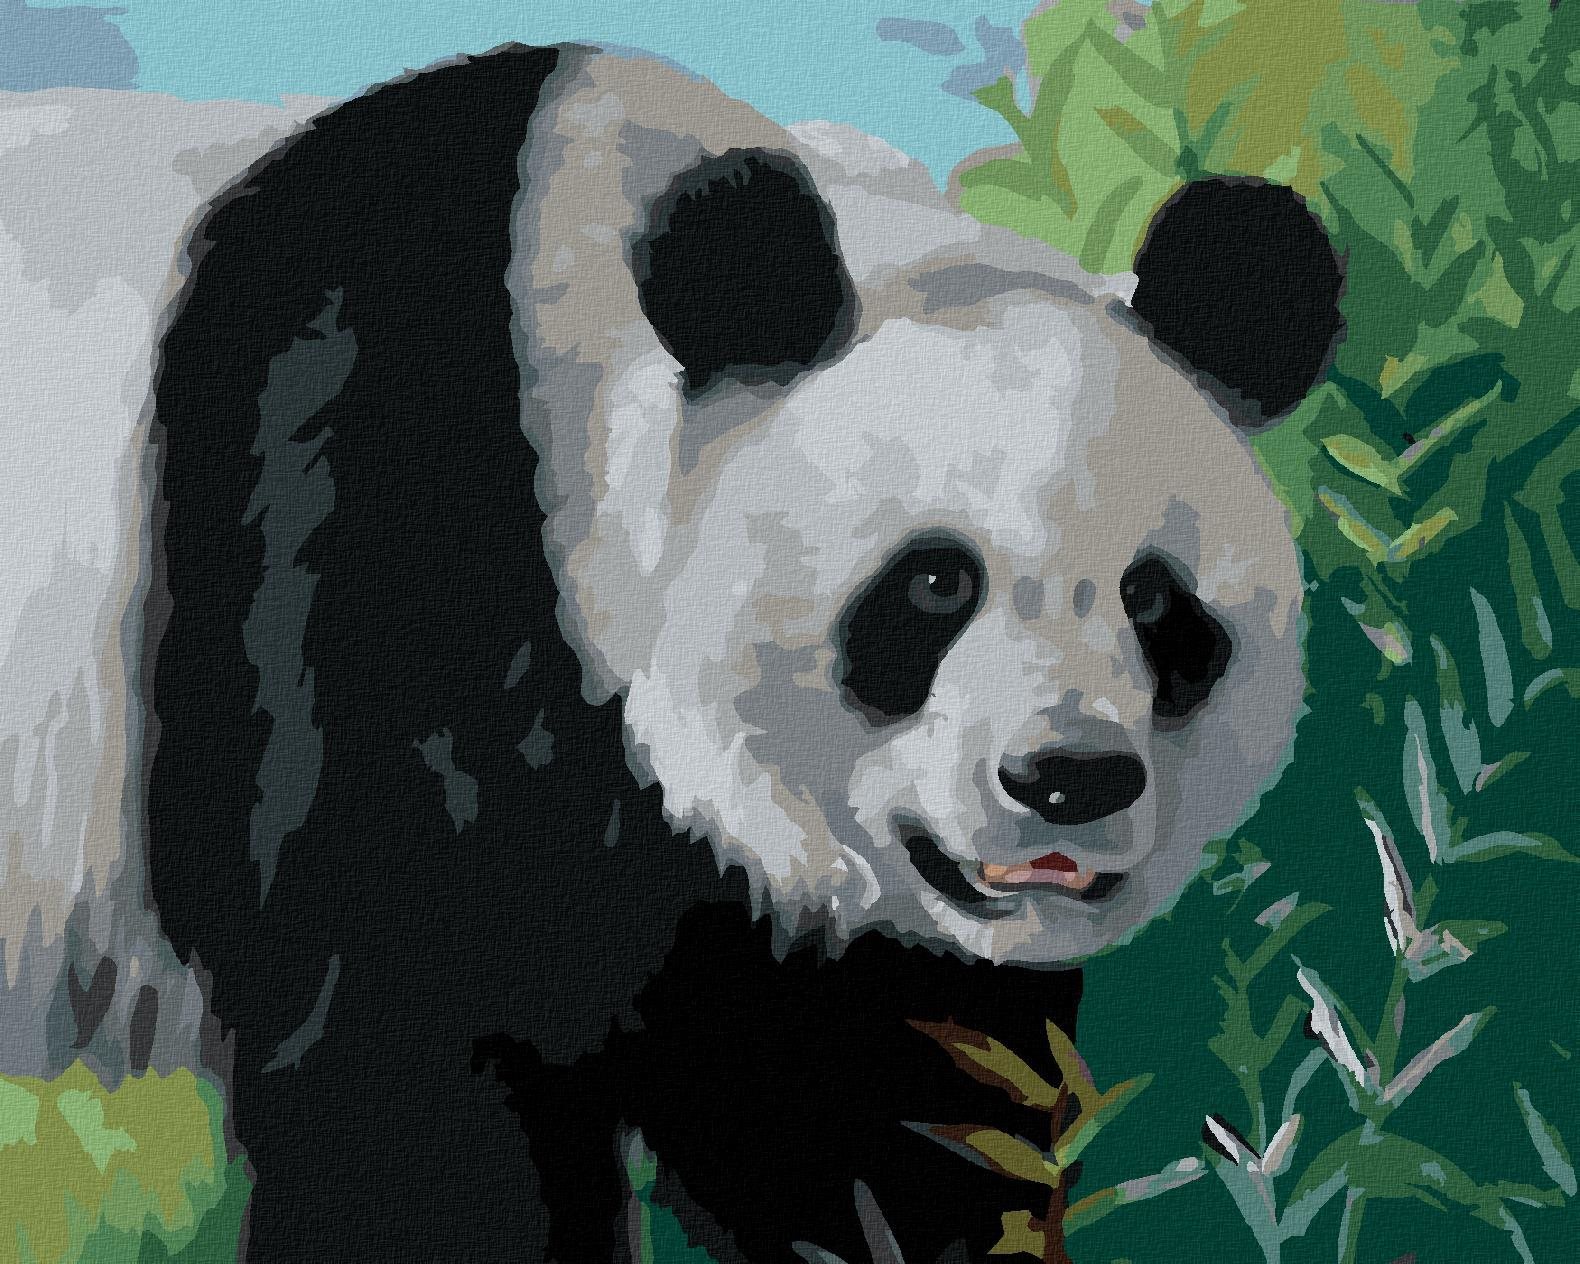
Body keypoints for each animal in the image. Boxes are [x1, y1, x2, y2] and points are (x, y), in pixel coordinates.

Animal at [142, 41, 1342, 1264]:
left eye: (1154, 600)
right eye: (933, 584)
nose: (1068, 778)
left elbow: (862, 1127)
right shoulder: (357, 579)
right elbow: (401, 1069)